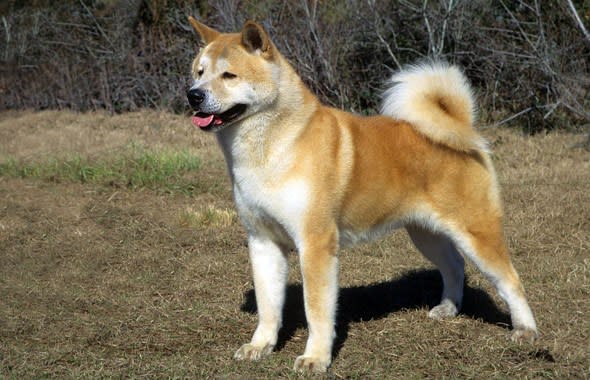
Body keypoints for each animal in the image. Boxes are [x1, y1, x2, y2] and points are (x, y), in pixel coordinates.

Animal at [187, 18, 540, 374]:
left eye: (229, 75)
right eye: (199, 72)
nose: (193, 95)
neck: (273, 148)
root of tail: (462, 126)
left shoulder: (315, 244)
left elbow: (316, 311)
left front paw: (315, 358)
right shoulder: (262, 241)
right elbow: (268, 306)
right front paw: (260, 346)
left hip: (475, 232)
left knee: (511, 280)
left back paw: (526, 330)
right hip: (426, 233)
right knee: (454, 266)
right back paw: (447, 309)